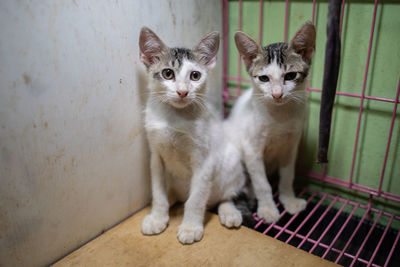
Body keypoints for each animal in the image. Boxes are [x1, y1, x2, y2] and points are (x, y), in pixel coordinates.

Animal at [141, 27, 247, 245]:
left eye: (195, 75)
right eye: (167, 73)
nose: (182, 92)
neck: (174, 117)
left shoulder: (204, 160)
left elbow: (196, 198)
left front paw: (190, 227)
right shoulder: (156, 157)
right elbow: (158, 193)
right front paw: (157, 217)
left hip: (231, 164)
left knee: (225, 196)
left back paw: (229, 212)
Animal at [225, 22, 316, 224]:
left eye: (290, 76)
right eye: (264, 78)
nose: (277, 94)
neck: (279, 117)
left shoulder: (291, 146)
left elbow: (287, 176)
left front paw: (289, 200)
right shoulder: (252, 150)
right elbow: (262, 184)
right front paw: (267, 208)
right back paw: (230, 213)